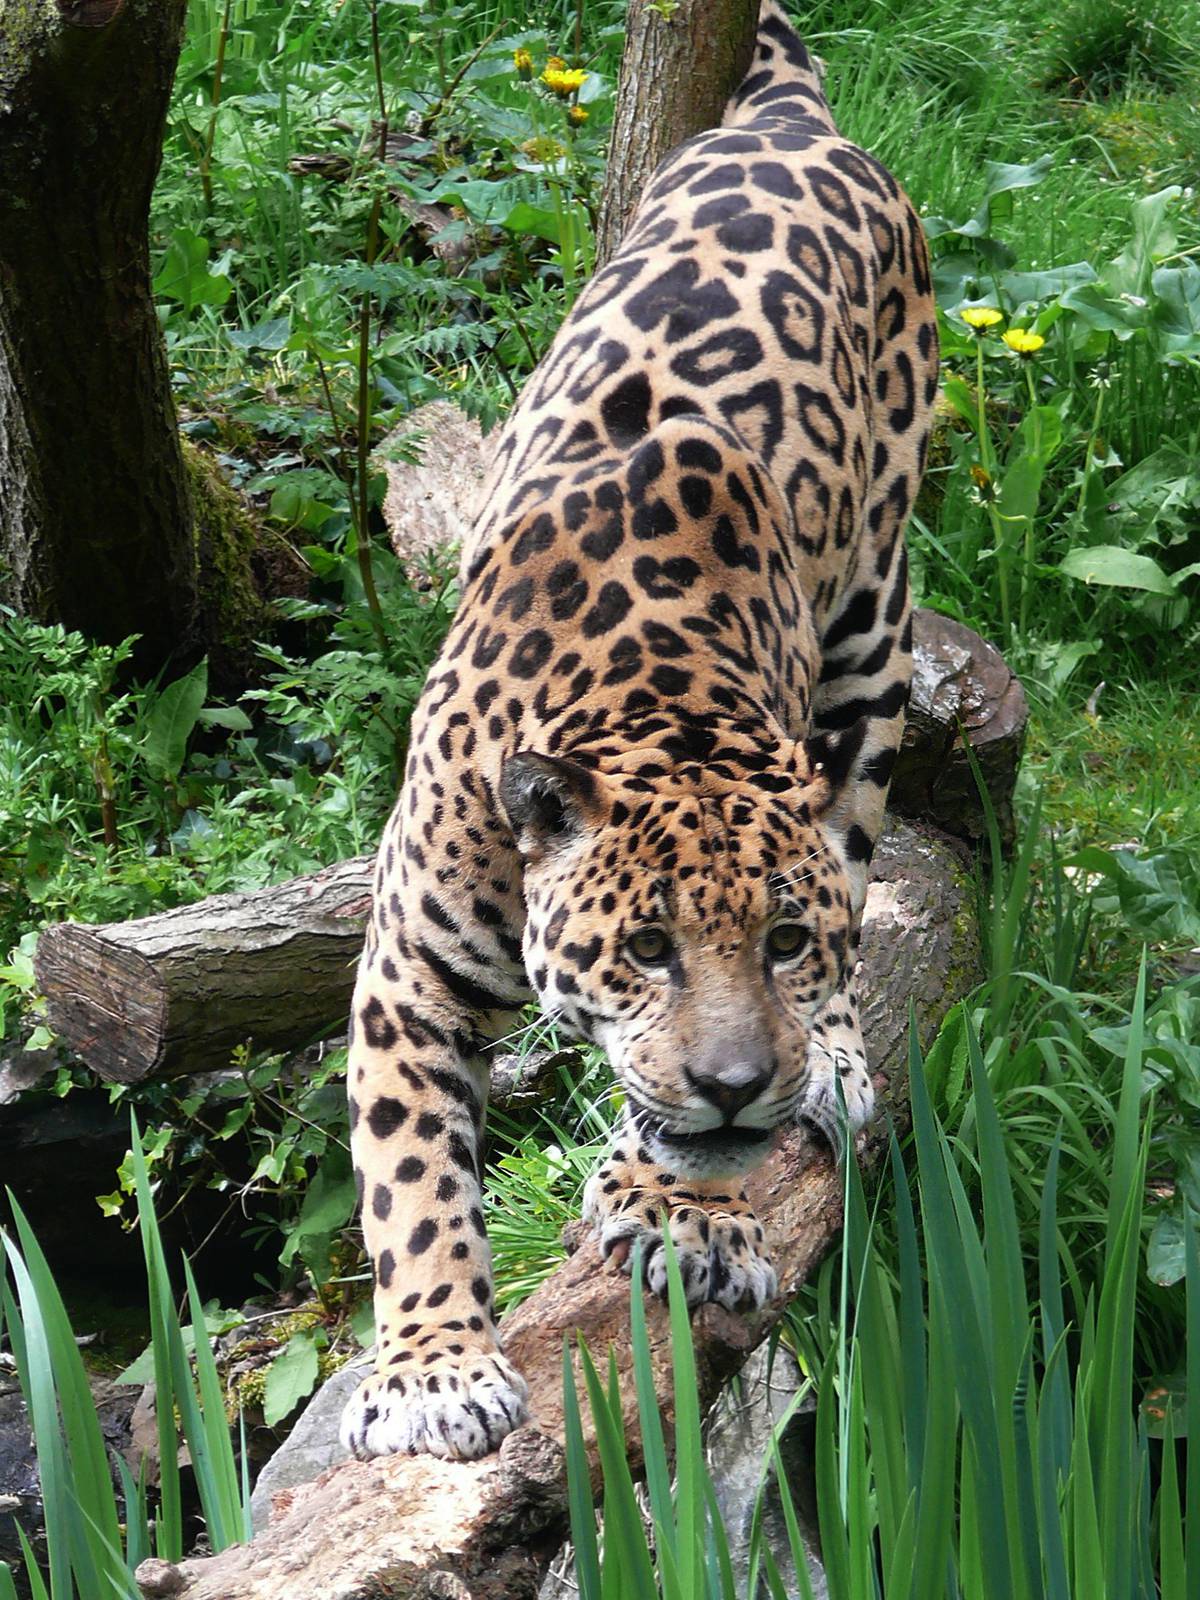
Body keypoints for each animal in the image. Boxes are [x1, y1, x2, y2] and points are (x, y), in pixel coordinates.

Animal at [340, 0, 937, 1463]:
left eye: (781, 942)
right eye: (649, 950)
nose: (734, 1080)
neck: (658, 707)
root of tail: (788, 123)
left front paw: (690, 1205)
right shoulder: (406, 970)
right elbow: (410, 1176)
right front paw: (434, 1370)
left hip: (873, 635)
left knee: (863, 834)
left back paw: (833, 1058)